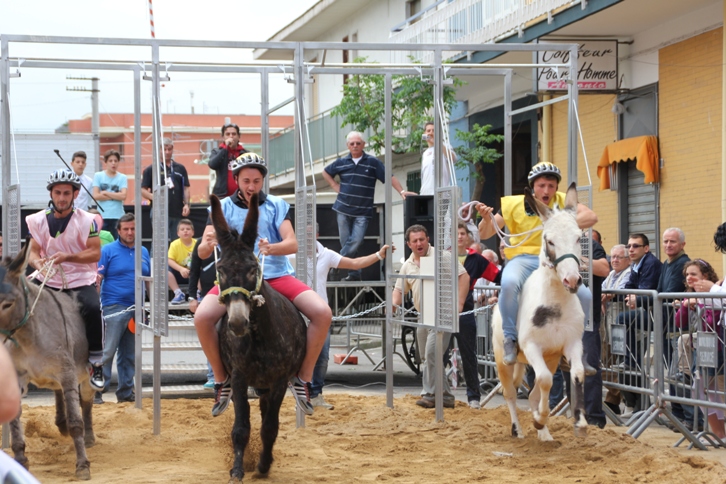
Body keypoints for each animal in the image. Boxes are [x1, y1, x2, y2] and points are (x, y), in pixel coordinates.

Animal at [0, 244, 95, 480]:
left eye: (8, 303)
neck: (28, 336)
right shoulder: (18, 377)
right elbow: (15, 421)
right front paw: (21, 460)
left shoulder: (68, 375)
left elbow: (76, 422)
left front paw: (82, 466)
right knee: (58, 392)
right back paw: (61, 424)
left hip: (86, 376)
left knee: (86, 402)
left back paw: (89, 437)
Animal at [209, 193, 307, 481]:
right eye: (220, 269)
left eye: (253, 268)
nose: (237, 322)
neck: (258, 335)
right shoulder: (240, 377)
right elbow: (241, 428)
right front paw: (238, 469)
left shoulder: (279, 381)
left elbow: (270, 426)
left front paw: (263, 466)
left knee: (266, 416)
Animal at [492, 182, 588, 441]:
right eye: (549, 240)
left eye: (579, 237)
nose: (572, 280)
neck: (555, 306)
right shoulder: (531, 346)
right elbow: (545, 381)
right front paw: (539, 419)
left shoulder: (571, 344)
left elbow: (578, 373)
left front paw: (580, 422)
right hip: (503, 361)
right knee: (511, 394)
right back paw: (518, 429)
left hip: (551, 358)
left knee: (534, 393)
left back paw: (544, 434)